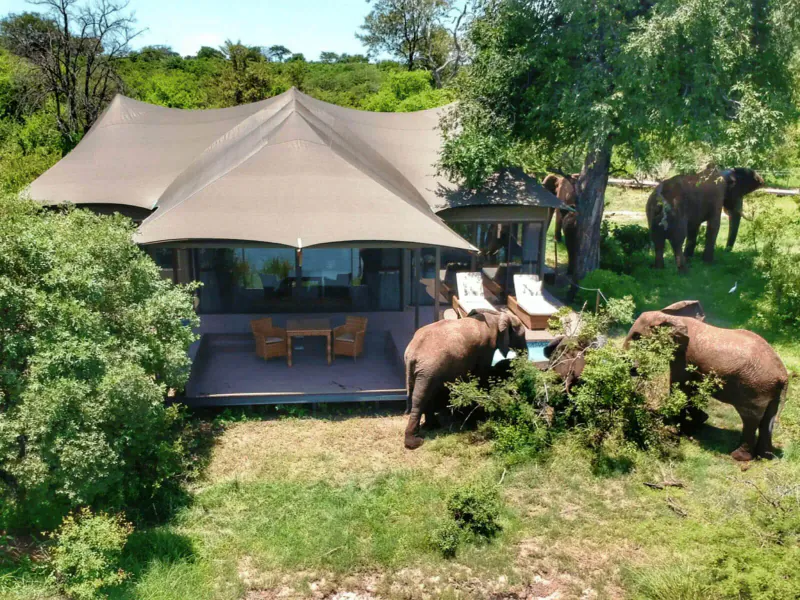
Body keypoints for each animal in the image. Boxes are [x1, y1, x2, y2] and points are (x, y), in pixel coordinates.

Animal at [404, 310, 528, 449]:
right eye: (522, 335)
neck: (497, 316)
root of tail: (412, 353)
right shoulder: (487, 348)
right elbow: (482, 374)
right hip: (429, 369)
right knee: (421, 397)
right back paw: (416, 442)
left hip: (422, 371)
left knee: (425, 394)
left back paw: (432, 427)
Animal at [624, 302, 788, 461]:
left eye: (637, 336)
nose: (633, 369)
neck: (671, 317)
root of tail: (783, 376)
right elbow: (691, 388)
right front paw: (698, 421)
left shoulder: (683, 356)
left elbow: (680, 386)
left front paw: (674, 427)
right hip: (769, 391)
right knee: (767, 419)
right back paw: (766, 457)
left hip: (755, 389)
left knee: (750, 419)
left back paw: (739, 457)